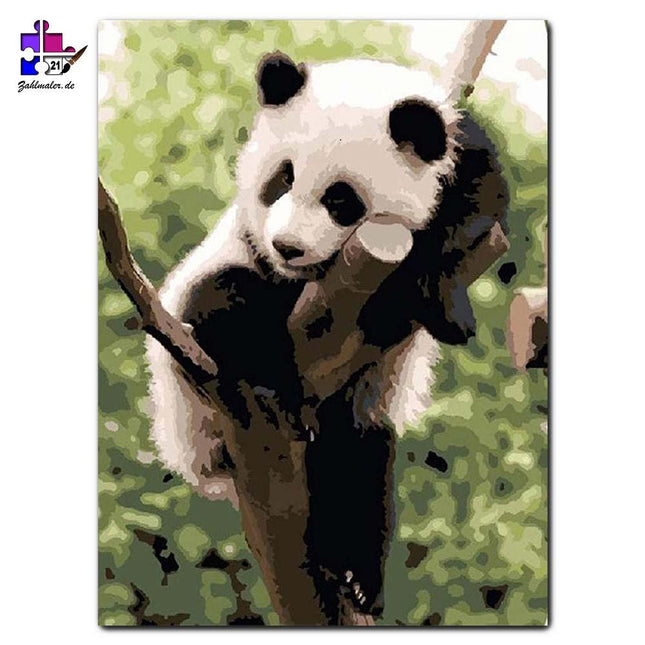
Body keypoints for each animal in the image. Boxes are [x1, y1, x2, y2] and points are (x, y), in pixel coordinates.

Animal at [146, 53, 507, 623]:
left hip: (358, 404)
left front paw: (442, 304)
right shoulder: (245, 252)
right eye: (282, 179)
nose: (287, 246)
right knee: (224, 302)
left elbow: (478, 204)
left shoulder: (461, 152)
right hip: (193, 413)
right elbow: (225, 300)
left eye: (342, 199)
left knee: (358, 466)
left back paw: (358, 577)